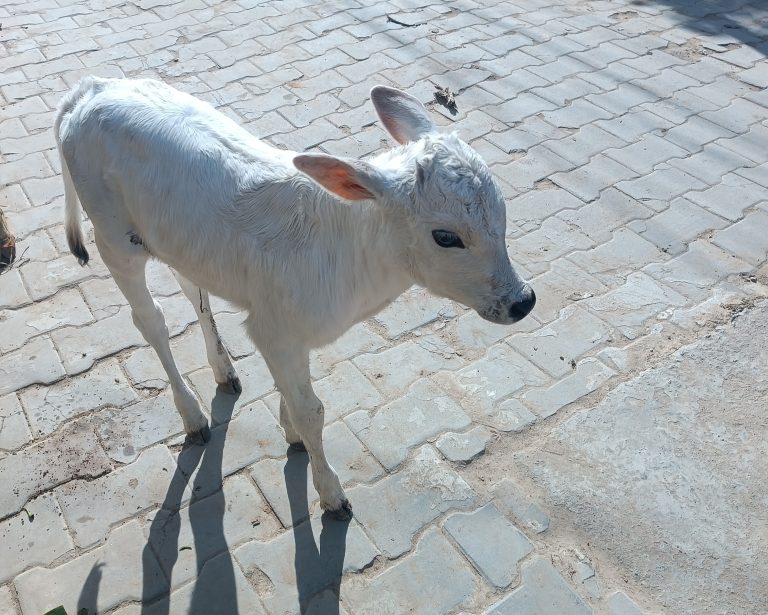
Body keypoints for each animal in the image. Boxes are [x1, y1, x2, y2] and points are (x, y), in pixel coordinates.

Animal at [55, 78, 536, 520]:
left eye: (502, 211)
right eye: (446, 237)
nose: (524, 300)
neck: (349, 250)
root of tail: (91, 88)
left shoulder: (281, 333)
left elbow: (291, 395)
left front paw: (289, 430)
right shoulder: (276, 331)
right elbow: (313, 411)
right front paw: (330, 492)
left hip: (174, 237)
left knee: (194, 290)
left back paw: (223, 369)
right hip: (115, 240)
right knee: (151, 321)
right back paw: (192, 415)